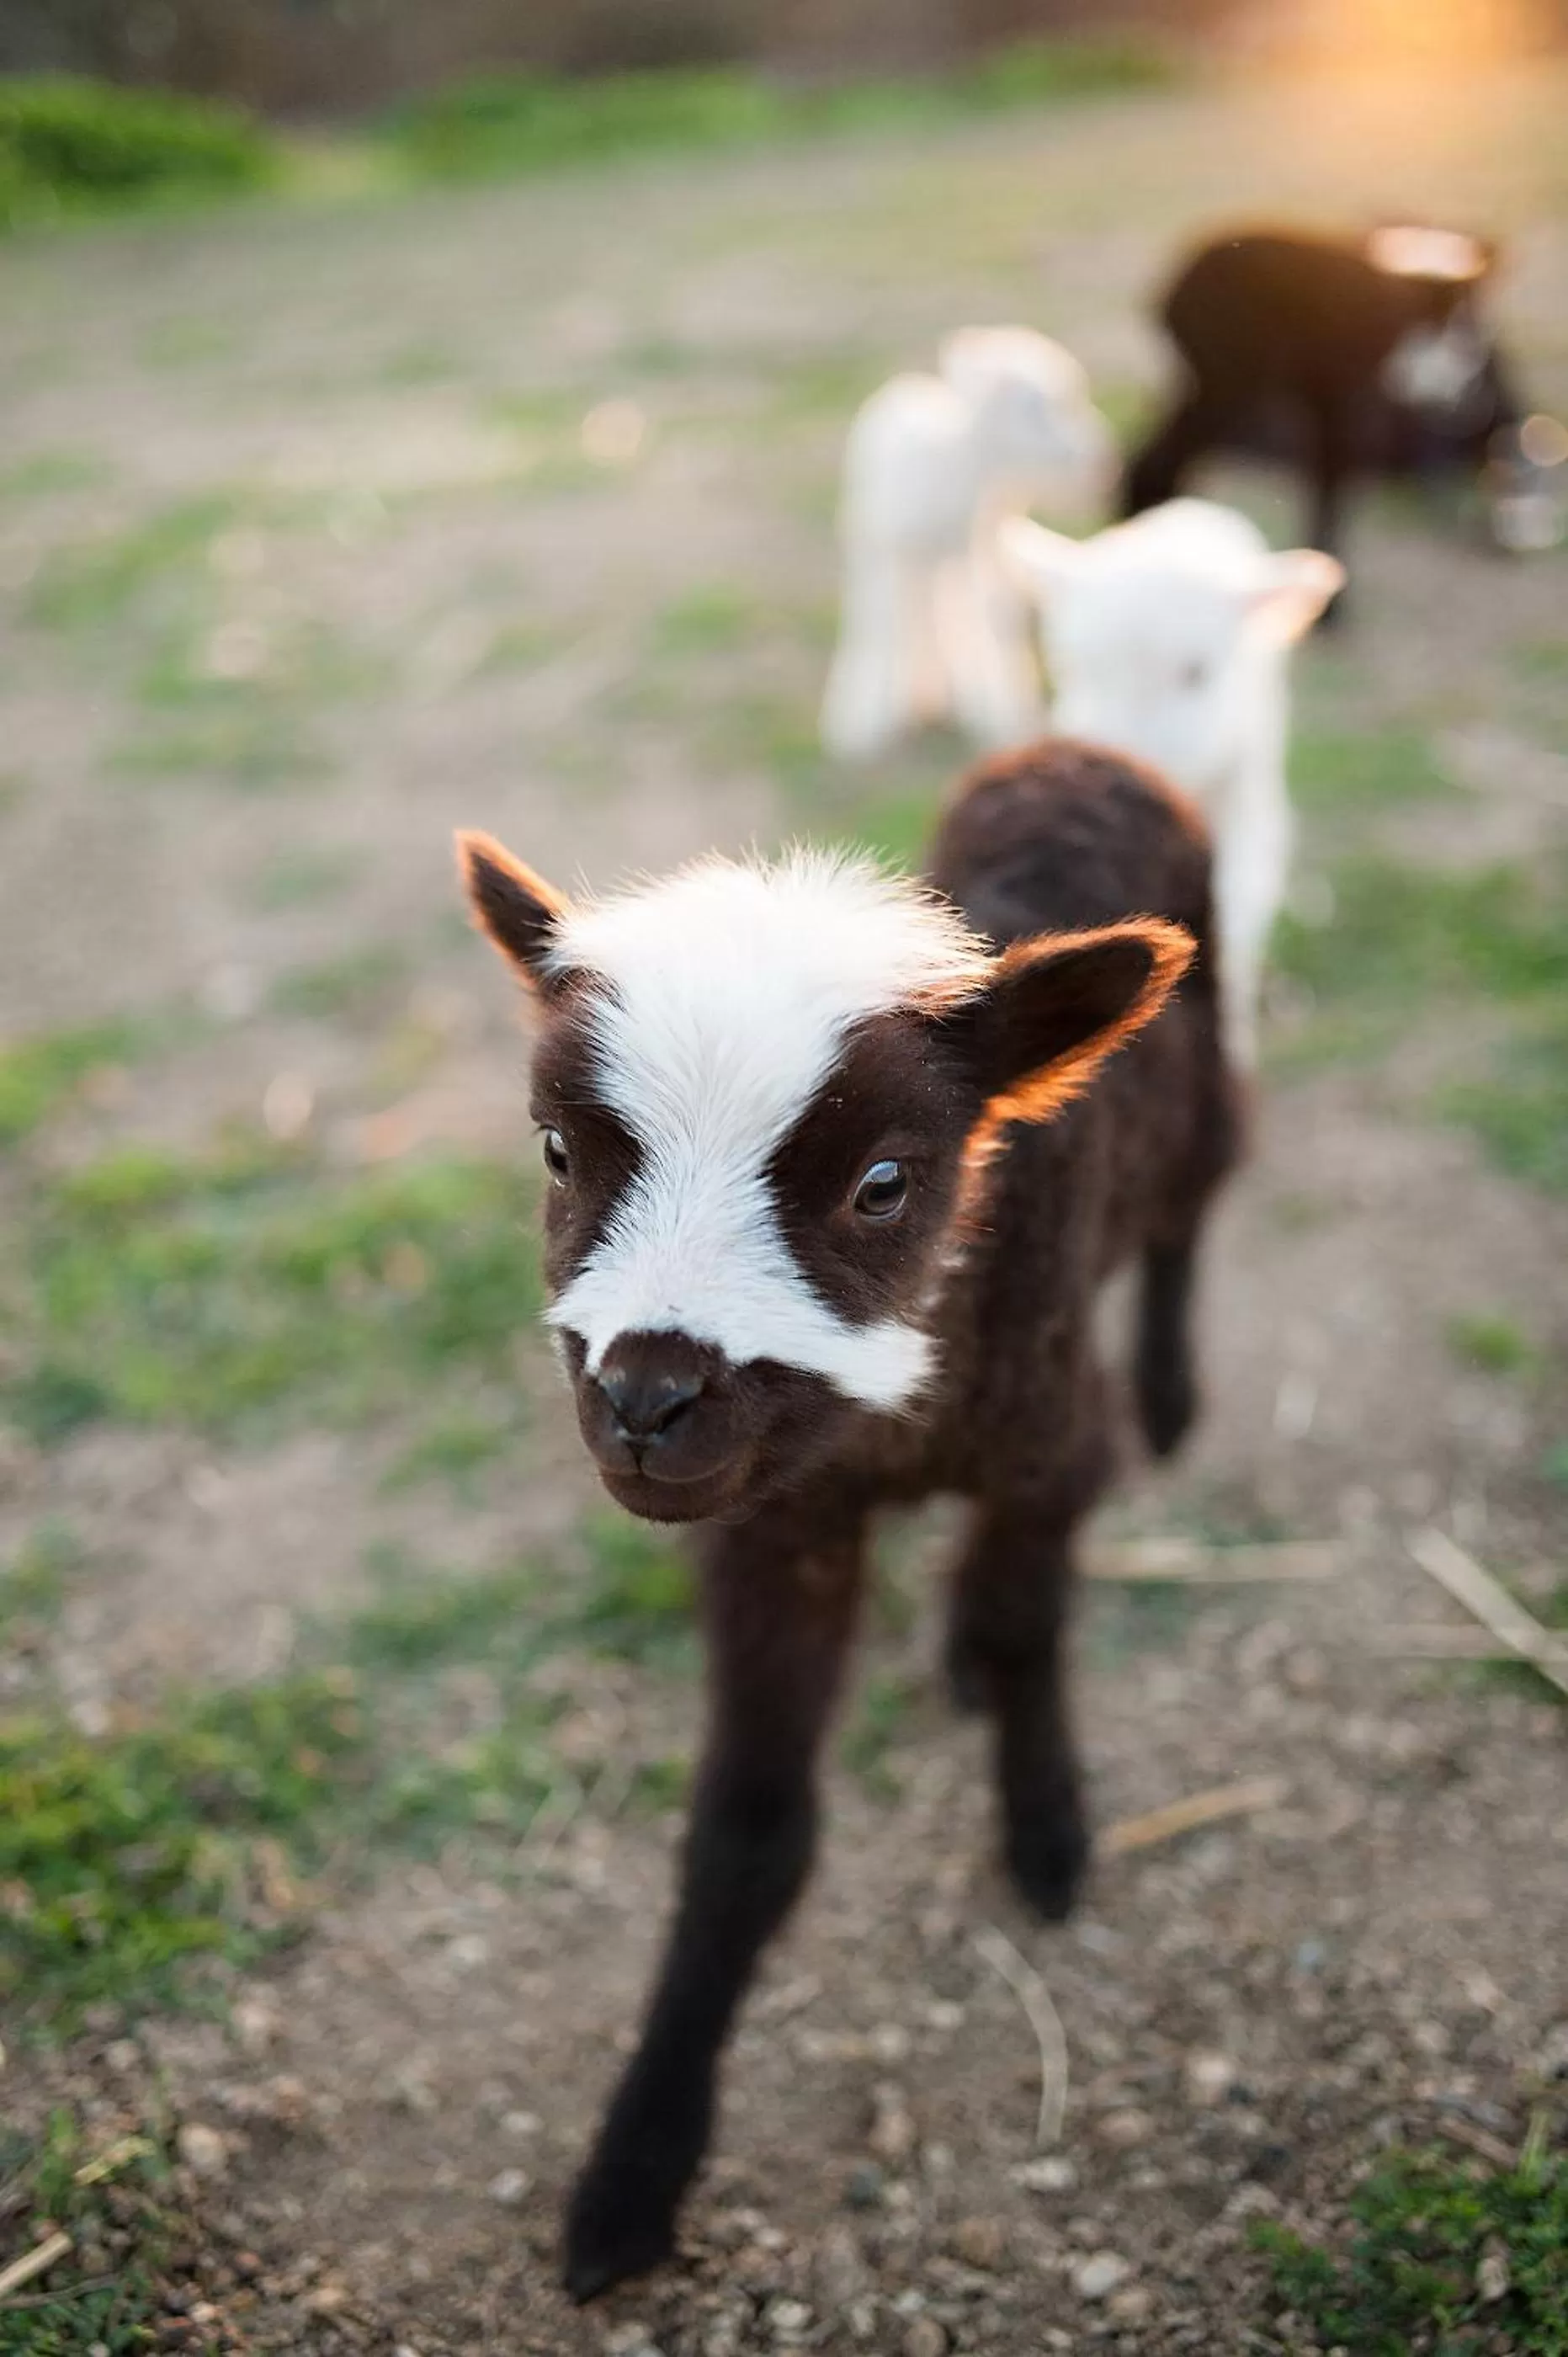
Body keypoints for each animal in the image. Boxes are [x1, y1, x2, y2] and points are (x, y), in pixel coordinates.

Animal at [457, 735, 1240, 2299]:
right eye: (558, 1154)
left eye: (883, 1183)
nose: (646, 1400)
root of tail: (1078, 746)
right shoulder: (778, 1529)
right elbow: (747, 1832)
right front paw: (631, 2176)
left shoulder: (1050, 1452)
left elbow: (1022, 1624)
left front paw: (1046, 1825)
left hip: (1206, 1065)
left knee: (1196, 1193)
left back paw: (1172, 1388)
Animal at [820, 326, 1113, 760]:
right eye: (1039, 406)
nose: (1100, 457)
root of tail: (908, 385)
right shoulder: (900, 550)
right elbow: (887, 626)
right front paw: (864, 728)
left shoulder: (971, 548)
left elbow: (982, 626)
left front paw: (996, 717)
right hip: (875, 537)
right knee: (885, 610)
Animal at [1120, 223, 1564, 603]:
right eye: (1450, 327)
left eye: (1472, 330)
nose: (1523, 544)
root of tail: (1174, 284)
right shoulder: (1351, 406)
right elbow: (1335, 494)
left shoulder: (1335, 407)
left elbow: (1328, 489)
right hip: (1230, 384)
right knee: (1158, 462)